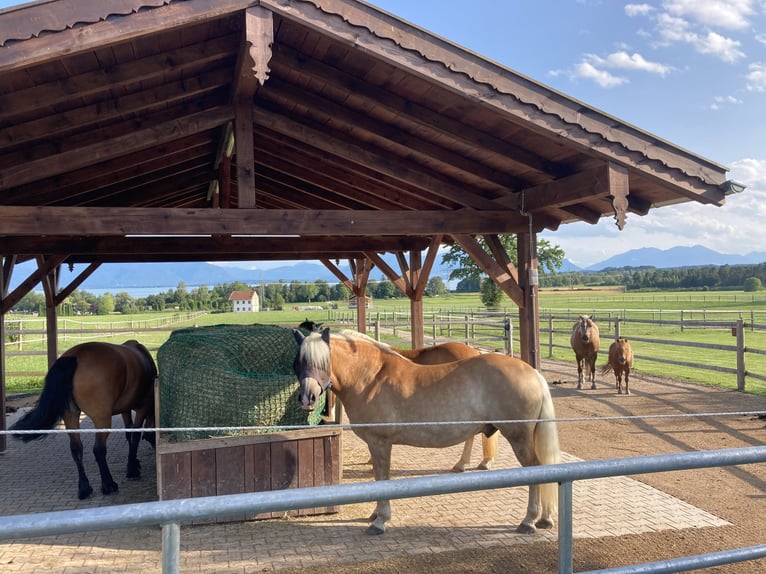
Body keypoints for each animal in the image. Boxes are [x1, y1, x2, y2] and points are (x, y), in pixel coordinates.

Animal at [11, 342, 158, 500]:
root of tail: (75, 356)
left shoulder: (126, 409)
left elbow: (129, 433)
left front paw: (134, 464)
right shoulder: (143, 407)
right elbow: (135, 436)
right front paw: (132, 470)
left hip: (71, 416)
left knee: (76, 449)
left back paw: (84, 488)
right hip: (102, 419)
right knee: (99, 449)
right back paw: (108, 484)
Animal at [292, 328, 560, 540]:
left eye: (323, 362)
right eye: (298, 363)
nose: (307, 399)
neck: (370, 378)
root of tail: (533, 373)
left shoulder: (380, 443)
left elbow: (382, 479)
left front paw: (380, 520)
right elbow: (379, 478)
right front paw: (375, 514)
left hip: (519, 438)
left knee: (535, 469)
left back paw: (529, 521)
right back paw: (544, 519)